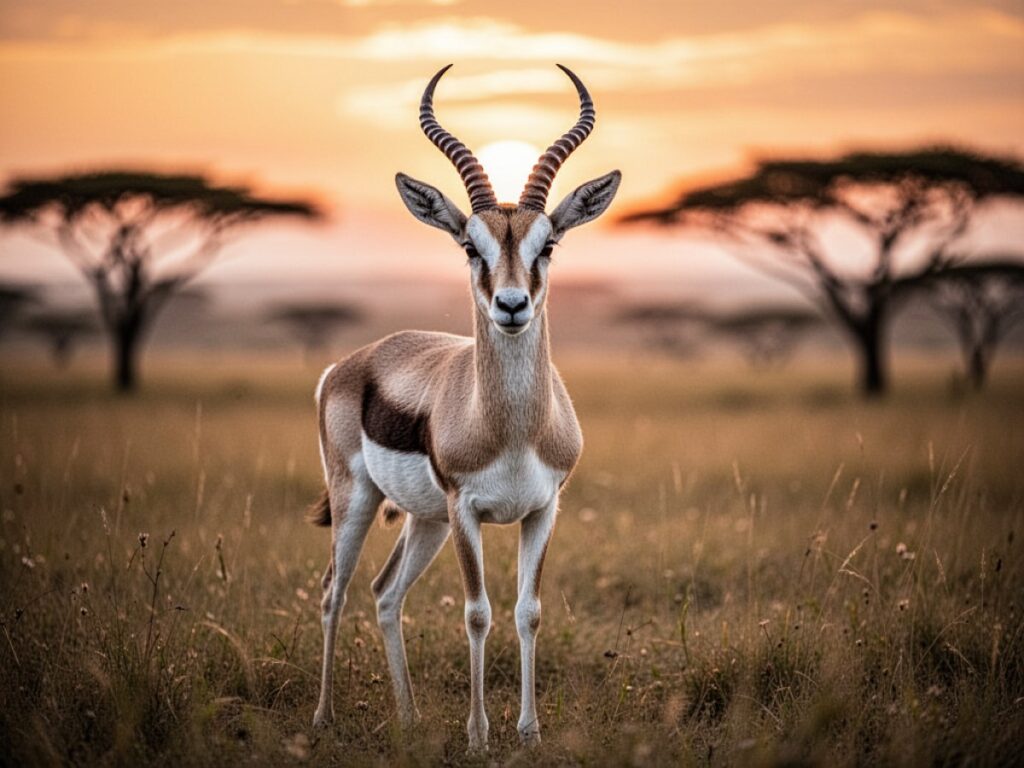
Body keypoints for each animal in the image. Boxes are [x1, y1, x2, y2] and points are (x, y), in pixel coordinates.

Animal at [309, 63, 620, 751]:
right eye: (470, 247)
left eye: (547, 245)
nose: (511, 305)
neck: (510, 429)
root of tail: (349, 364)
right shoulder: (467, 510)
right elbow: (478, 614)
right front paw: (479, 735)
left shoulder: (543, 509)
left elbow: (528, 612)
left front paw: (529, 731)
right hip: (359, 501)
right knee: (333, 591)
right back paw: (321, 718)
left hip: (424, 520)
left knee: (384, 593)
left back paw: (409, 718)